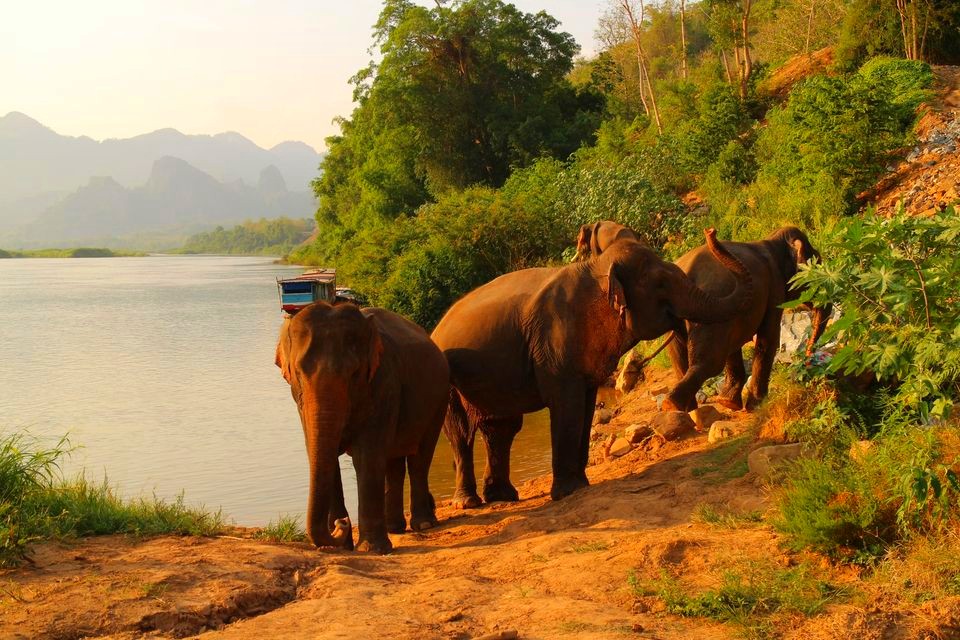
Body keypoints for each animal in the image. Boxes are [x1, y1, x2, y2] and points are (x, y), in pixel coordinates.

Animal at [272, 302, 448, 552]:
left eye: (354, 374)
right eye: (297, 373)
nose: (342, 522)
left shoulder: (384, 383)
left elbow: (367, 457)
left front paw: (373, 549)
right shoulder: (300, 404)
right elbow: (324, 456)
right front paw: (343, 548)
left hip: (439, 400)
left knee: (419, 458)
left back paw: (423, 524)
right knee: (393, 462)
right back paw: (395, 528)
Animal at [432, 228, 752, 508]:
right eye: (661, 283)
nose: (711, 231)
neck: (597, 268)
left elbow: (585, 407)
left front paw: (581, 485)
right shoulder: (554, 348)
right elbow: (566, 406)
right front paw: (566, 492)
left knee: (501, 429)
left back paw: (503, 497)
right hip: (449, 384)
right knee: (462, 434)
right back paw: (468, 503)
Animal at [664, 228, 828, 412]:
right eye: (817, 264)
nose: (807, 358)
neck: (772, 240)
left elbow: (735, 346)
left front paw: (727, 402)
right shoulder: (774, 288)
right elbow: (768, 338)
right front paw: (756, 405)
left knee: (680, 362)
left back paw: (684, 409)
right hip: (710, 308)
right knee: (710, 363)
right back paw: (672, 404)